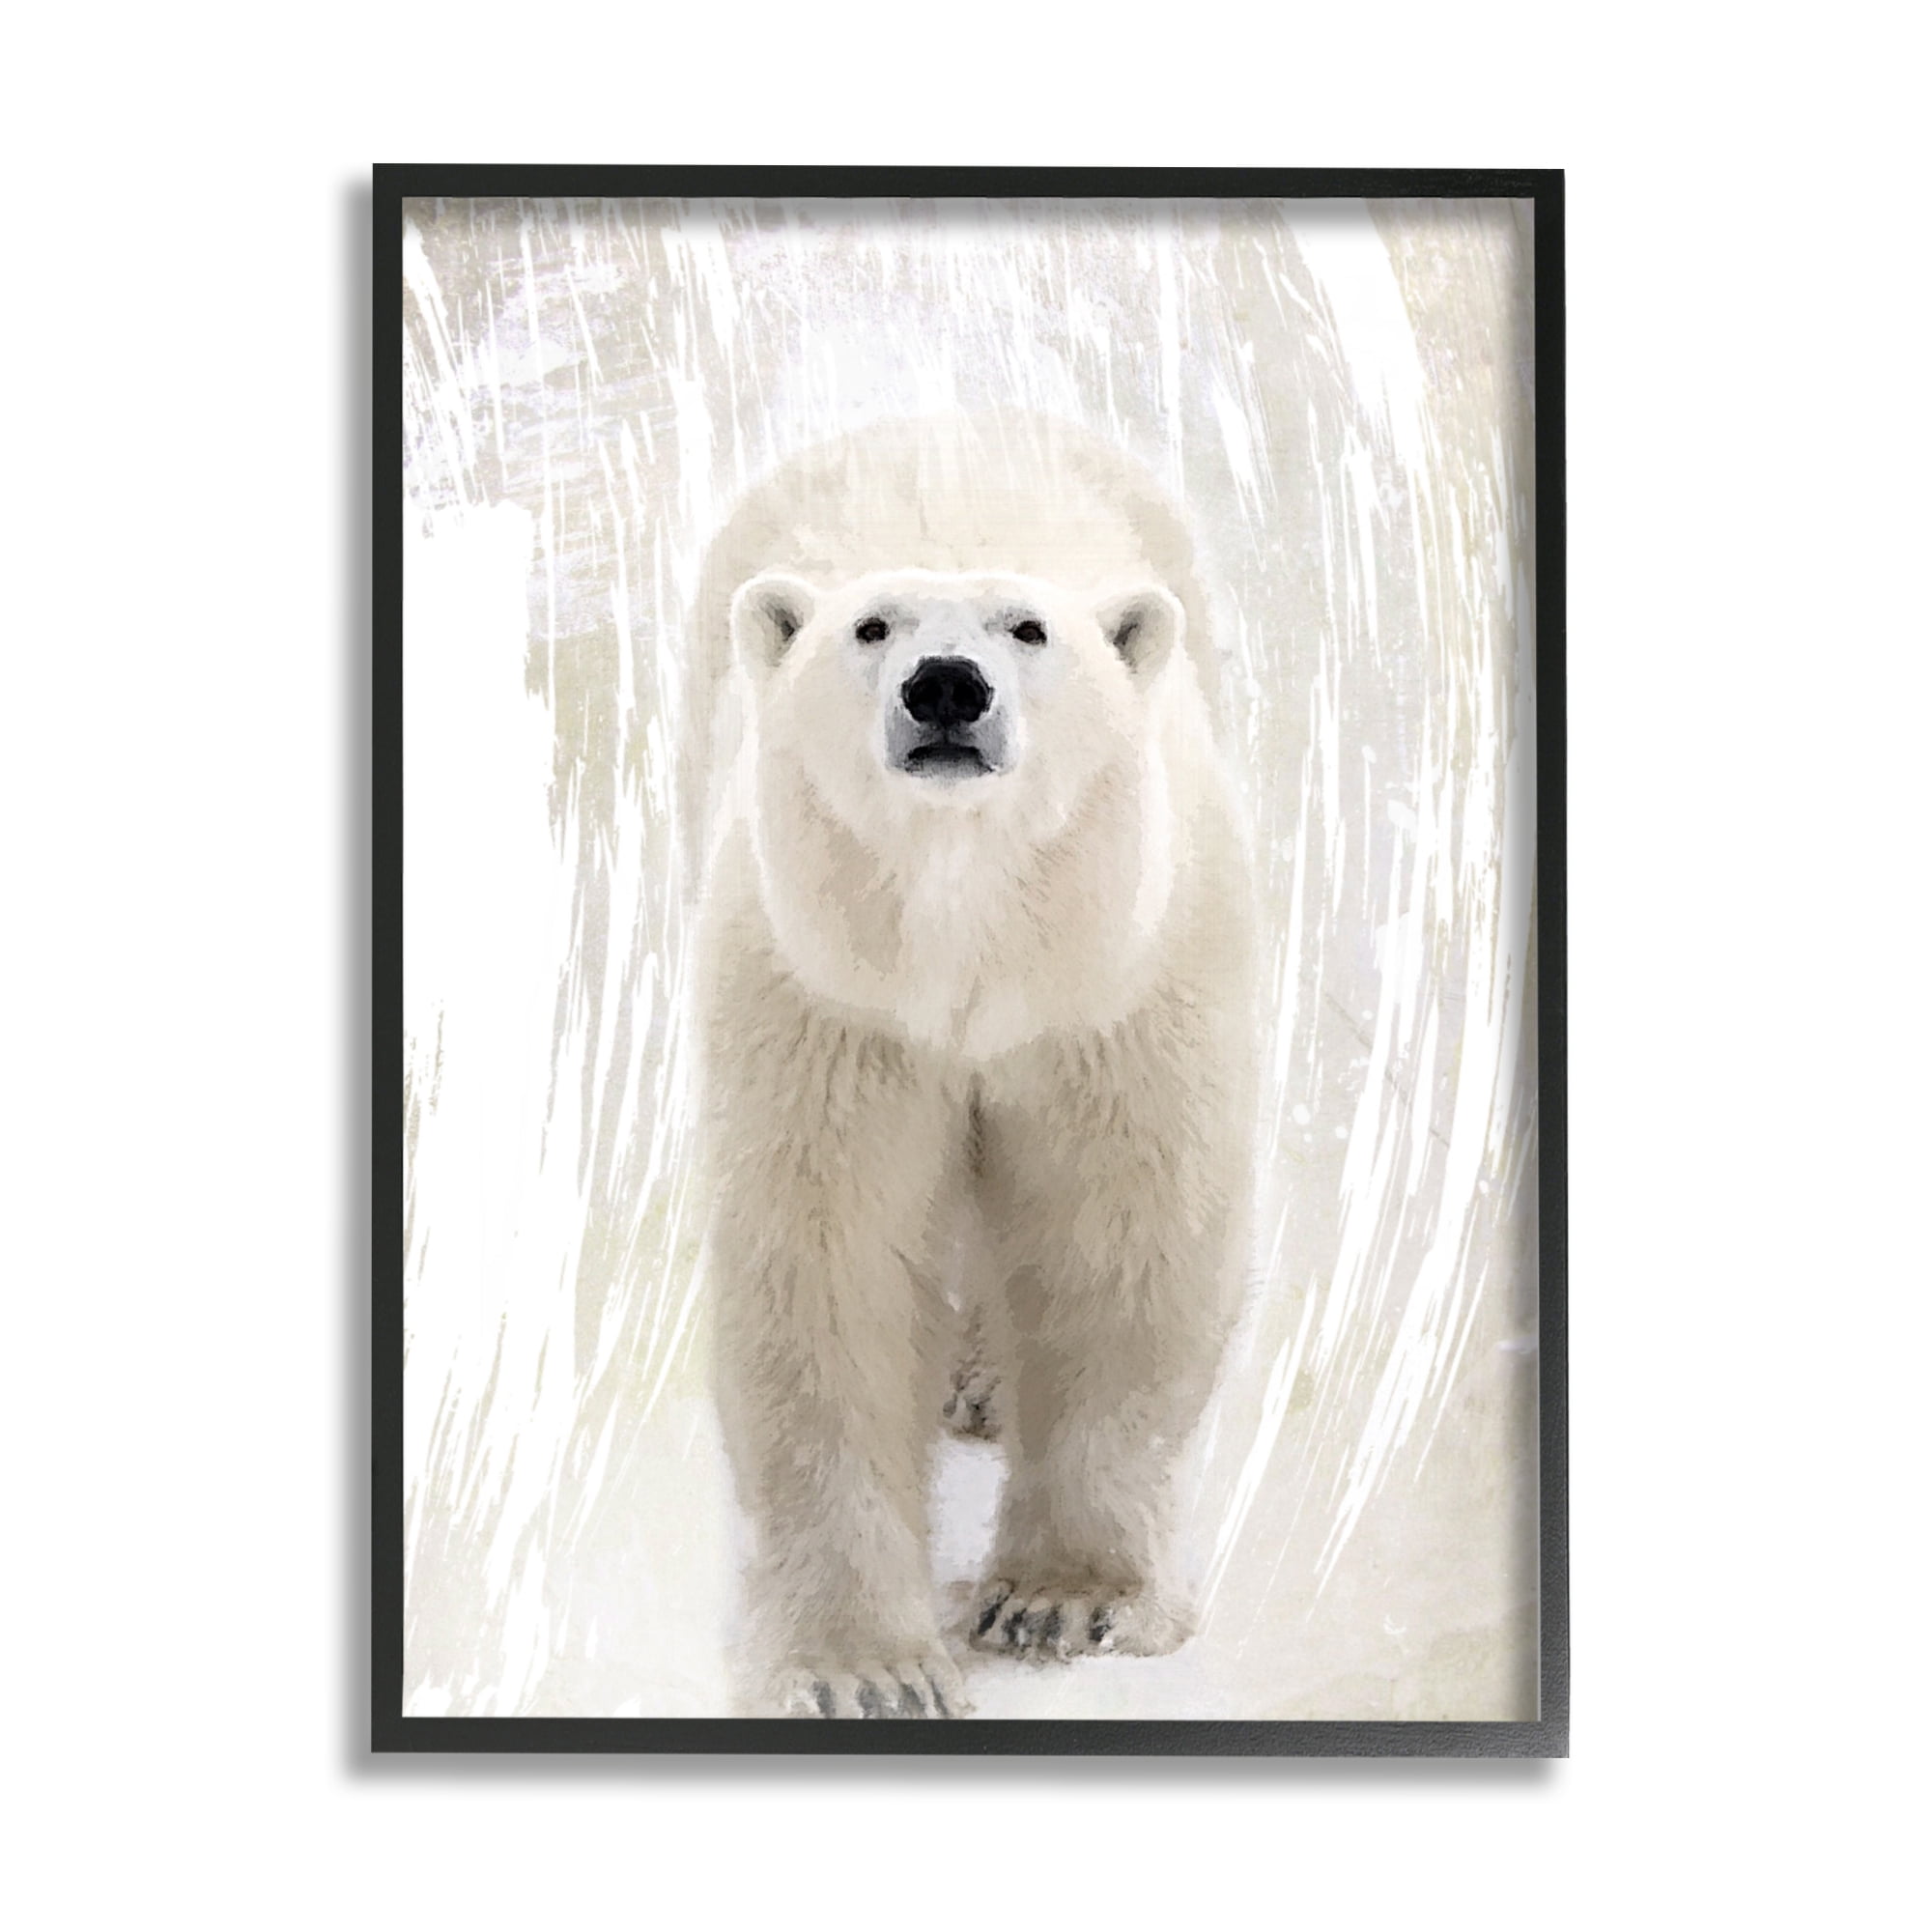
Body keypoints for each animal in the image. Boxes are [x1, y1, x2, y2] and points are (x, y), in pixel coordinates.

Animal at [687, 415, 1256, 1718]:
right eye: (870, 625)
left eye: (1028, 628)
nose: (945, 684)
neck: (971, 942)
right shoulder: (829, 1004)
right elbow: (830, 1261)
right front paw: (865, 1667)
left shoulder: (1113, 991)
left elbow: (1114, 1231)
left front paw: (1062, 1599)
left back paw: (989, 1380)